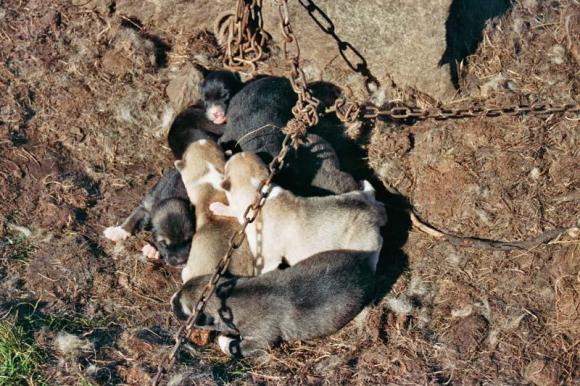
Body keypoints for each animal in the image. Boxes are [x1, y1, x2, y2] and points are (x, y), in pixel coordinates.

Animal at [172, 249, 378, 358]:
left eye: (183, 308)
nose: (171, 300)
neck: (232, 296)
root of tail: (362, 266)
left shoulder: (261, 340)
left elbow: (237, 346)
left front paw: (224, 340)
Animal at [211, 152, 388, 272]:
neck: (258, 191)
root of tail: (375, 213)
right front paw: (218, 207)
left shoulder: (268, 259)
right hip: (360, 196)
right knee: (371, 194)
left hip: (366, 243)